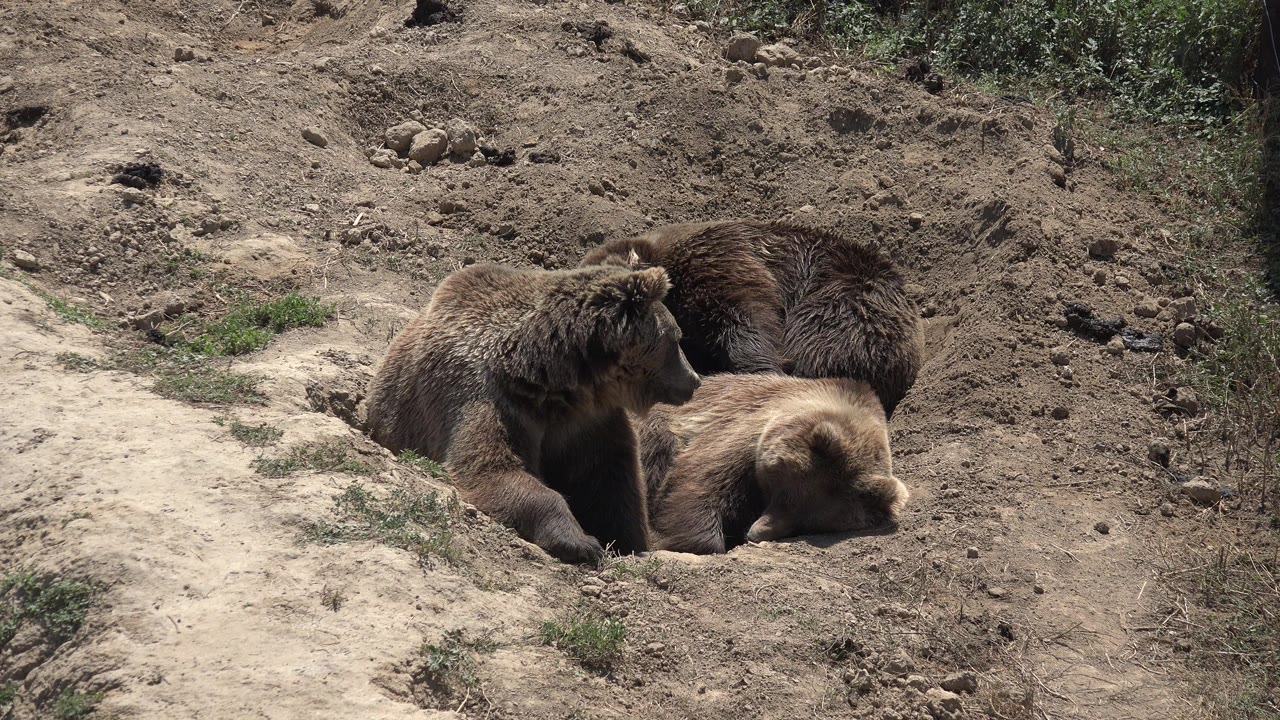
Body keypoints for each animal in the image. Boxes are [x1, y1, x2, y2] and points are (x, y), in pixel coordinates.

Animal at [364, 263, 702, 563]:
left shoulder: (589, 422)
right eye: (677, 338)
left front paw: (625, 542)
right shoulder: (489, 400)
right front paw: (580, 542)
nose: (694, 379)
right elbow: (491, 467)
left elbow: (610, 481)